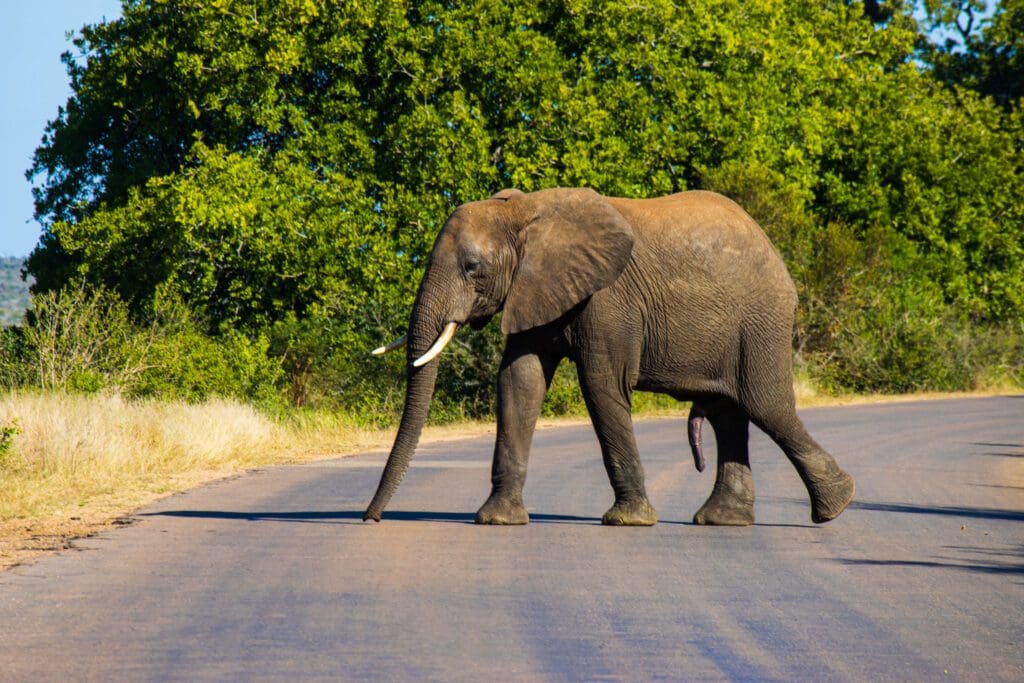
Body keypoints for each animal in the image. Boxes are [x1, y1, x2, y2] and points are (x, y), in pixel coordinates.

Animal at [364, 187, 855, 526]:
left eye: (472, 267)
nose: (371, 518)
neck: (524, 212)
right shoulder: (535, 288)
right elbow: (519, 382)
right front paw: (496, 520)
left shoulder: (607, 298)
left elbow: (601, 384)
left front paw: (627, 522)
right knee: (728, 413)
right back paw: (722, 521)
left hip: (760, 321)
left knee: (764, 404)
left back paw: (836, 506)